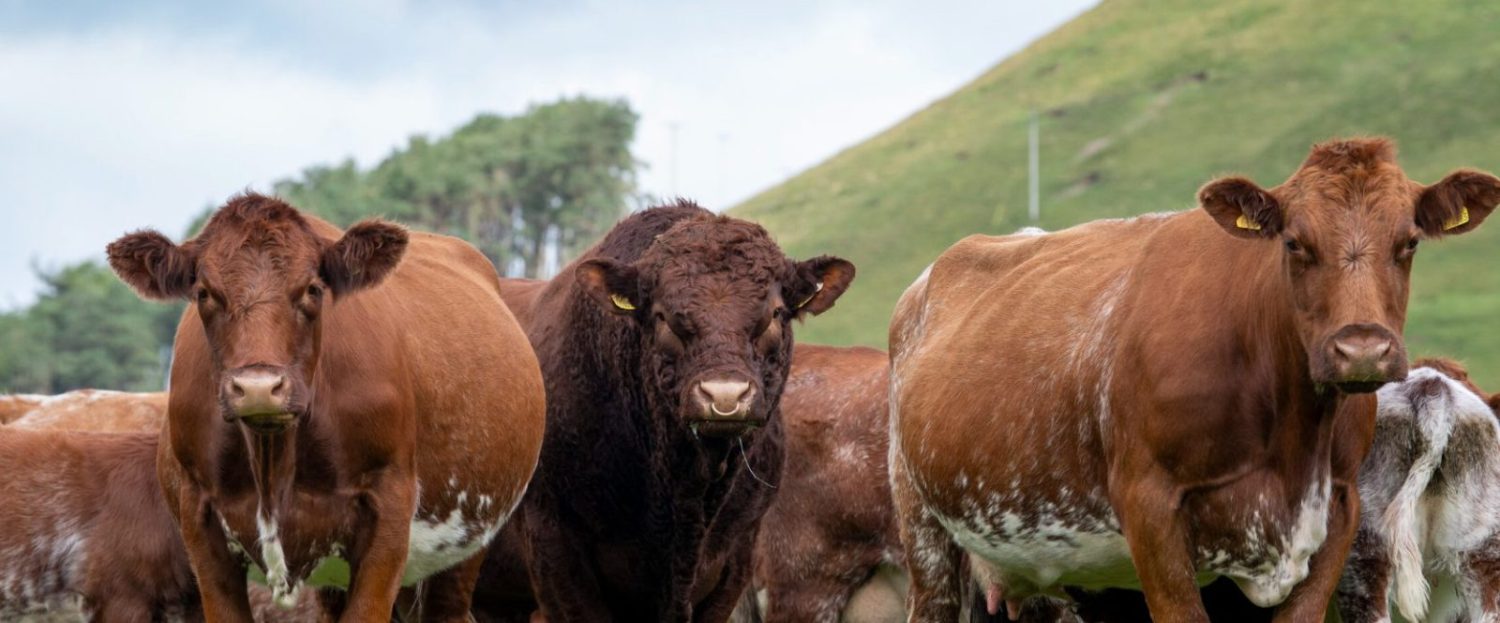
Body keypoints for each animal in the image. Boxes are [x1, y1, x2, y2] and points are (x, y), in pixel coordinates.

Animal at [108, 192, 549, 621]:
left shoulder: (389, 515)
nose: (257, 388)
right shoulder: (200, 525)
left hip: (466, 541)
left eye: (312, 289)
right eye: (204, 293)